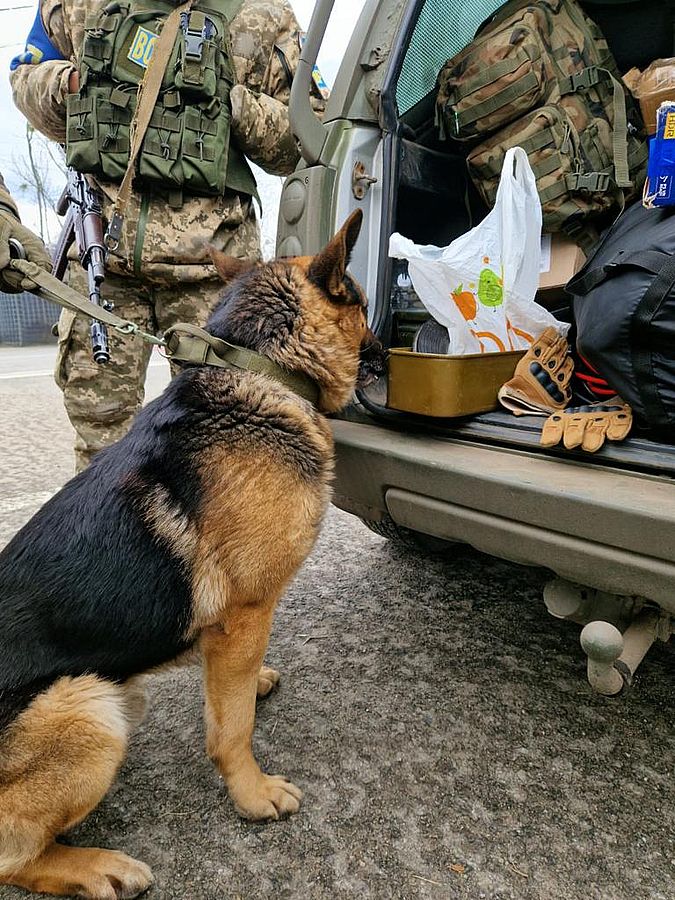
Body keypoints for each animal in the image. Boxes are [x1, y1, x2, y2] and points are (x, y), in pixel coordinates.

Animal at [0, 213, 382, 900]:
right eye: (361, 306)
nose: (392, 353)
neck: (261, 367)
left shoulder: (229, 631)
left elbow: (228, 690)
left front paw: (252, 682)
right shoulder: (246, 612)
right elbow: (232, 729)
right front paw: (252, 795)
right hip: (89, 709)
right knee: (11, 853)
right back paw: (98, 866)